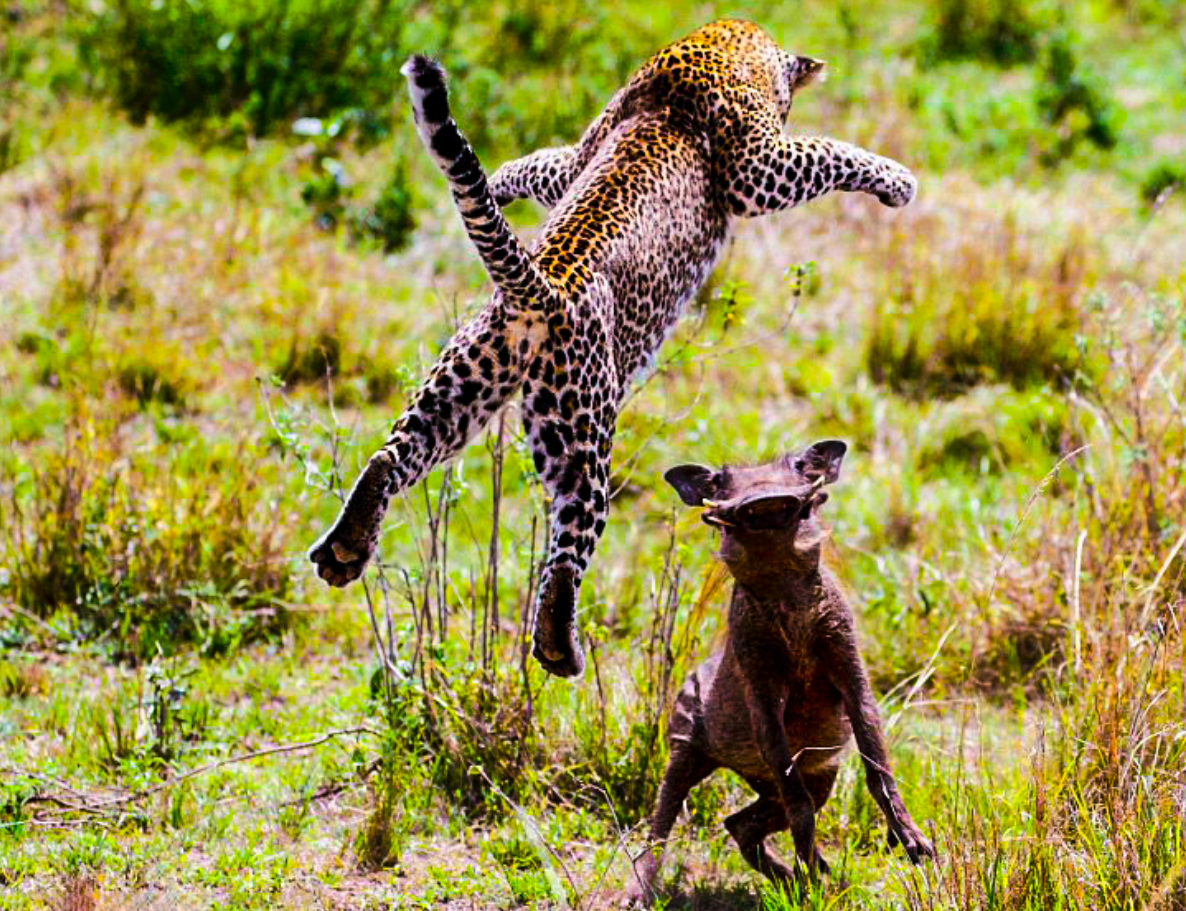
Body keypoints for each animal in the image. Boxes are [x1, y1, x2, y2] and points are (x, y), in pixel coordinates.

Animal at [308, 17, 915, 678]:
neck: (718, 43)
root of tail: (539, 286)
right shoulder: (757, 168)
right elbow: (827, 151)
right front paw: (897, 181)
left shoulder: (578, 156)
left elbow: (544, 163)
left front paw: (498, 179)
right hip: (581, 430)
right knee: (568, 544)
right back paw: (558, 647)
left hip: (462, 387)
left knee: (393, 455)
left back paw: (345, 547)